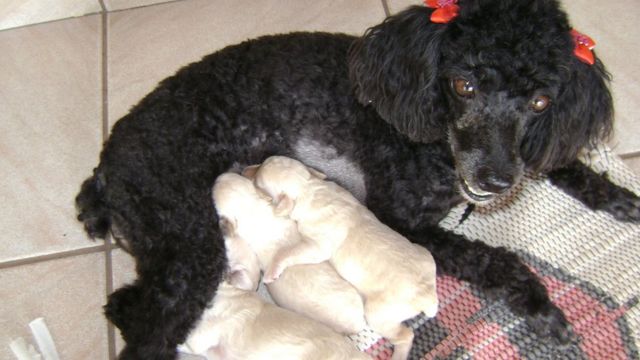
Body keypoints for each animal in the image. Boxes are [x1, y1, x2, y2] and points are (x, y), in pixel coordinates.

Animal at [255, 155, 440, 360]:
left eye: (257, 183)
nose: (246, 168)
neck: (308, 187)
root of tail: (427, 295)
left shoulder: (317, 247)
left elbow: (288, 252)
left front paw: (272, 271)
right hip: (424, 254)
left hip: (378, 314)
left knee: (405, 336)